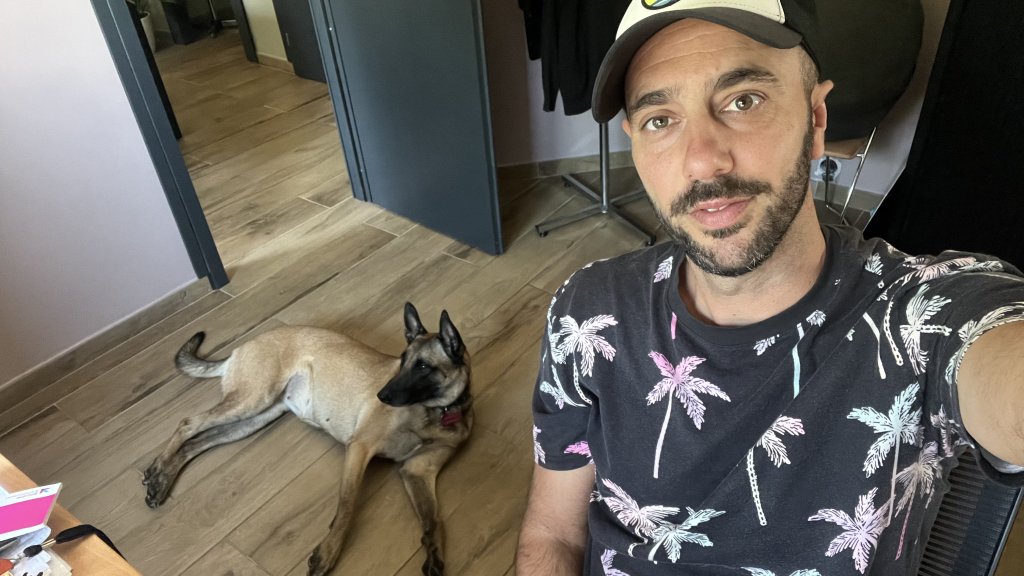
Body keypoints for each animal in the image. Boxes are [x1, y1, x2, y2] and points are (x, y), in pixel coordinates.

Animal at [142, 303, 472, 576]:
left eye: (423, 366)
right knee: (188, 423)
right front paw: (328, 552)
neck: (438, 411)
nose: (382, 395)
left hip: (255, 418)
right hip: (252, 400)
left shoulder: (417, 472)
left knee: (199, 442)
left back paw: (163, 478)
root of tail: (241, 347)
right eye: (402, 361)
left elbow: (433, 520)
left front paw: (434, 554)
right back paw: (158, 472)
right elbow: (346, 506)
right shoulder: (359, 449)